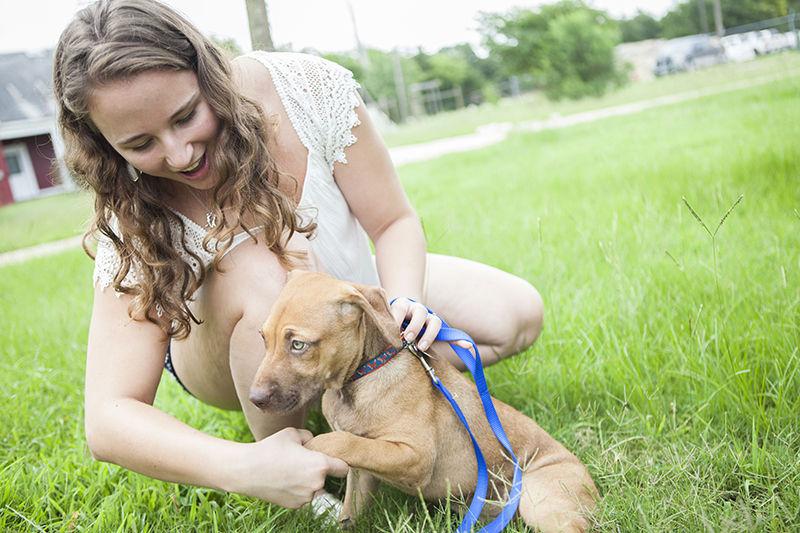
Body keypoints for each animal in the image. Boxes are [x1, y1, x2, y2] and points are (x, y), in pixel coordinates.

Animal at [250, 272, 592, 528]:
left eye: (298, 344)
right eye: (263, 338)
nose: (255, 399)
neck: (360, 379)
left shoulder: (415, 457)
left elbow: (344, 441)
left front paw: (309, 447)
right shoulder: (364, 473)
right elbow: (350, 507)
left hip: (546, 504)